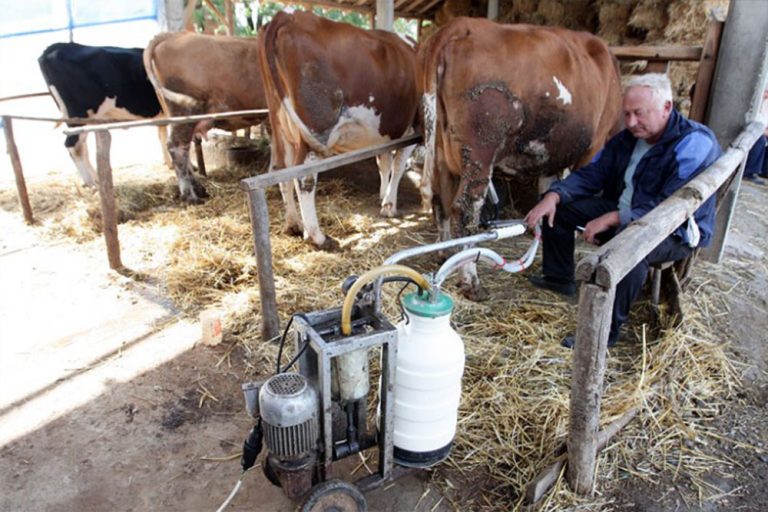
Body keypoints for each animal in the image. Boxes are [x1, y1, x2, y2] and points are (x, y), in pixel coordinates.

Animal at [38, 43, 170, 185]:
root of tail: (56, 47)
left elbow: (162, 135)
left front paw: (169, 163)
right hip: (78, 116)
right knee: (72, 145)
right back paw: (92, 182)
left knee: (81, 146)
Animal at [144, 31, 268, 204]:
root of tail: (174, 35)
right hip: (184, 112)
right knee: (176, 146)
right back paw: (190, 196)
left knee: (184, 149)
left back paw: (199, 190)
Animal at [258, 11, 416, 251]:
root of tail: (289, 15)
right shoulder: (413, 129)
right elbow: (397, 167)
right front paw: (389, 206)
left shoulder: (386, 134)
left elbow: (384, 164)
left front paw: (382, 197)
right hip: (315, 129)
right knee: (304, 177)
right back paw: (317, 236)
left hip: (281, 128)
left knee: (280, 171)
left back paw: (293, 225)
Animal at [416, 19, 620, 300]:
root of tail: (460, 25)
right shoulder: (594, 147)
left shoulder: (549, 158)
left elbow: (547, 195)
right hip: (480, 149)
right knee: (465, 210)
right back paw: (471, 280)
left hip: (441, 149)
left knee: (441, 200)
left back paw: (445, 255)